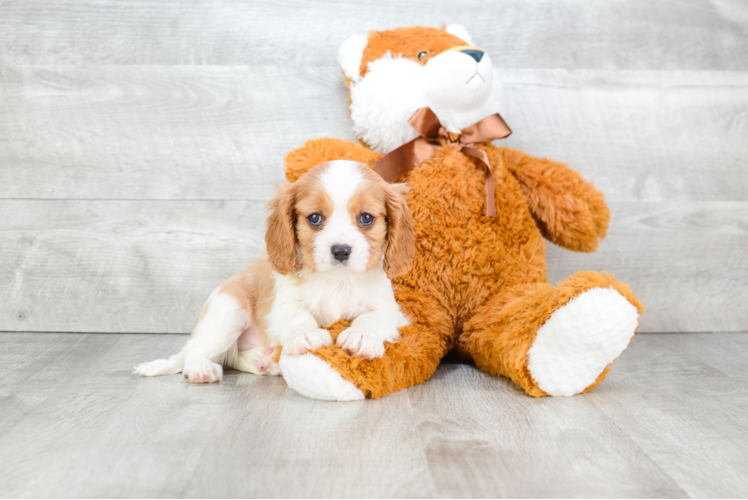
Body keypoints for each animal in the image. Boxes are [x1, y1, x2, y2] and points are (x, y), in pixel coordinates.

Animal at [134, 160, 414, 382]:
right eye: (314, 218)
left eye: (366, 218)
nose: (341, 250)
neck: (337, 280)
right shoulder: (280, 305)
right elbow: (296, 315)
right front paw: (307, 336)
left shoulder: (389, 308)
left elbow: (375, 317)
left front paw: (361, 336)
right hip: (228, 310)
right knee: (196, 352)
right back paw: (201, 368)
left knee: (232, 356)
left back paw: (263, 360)